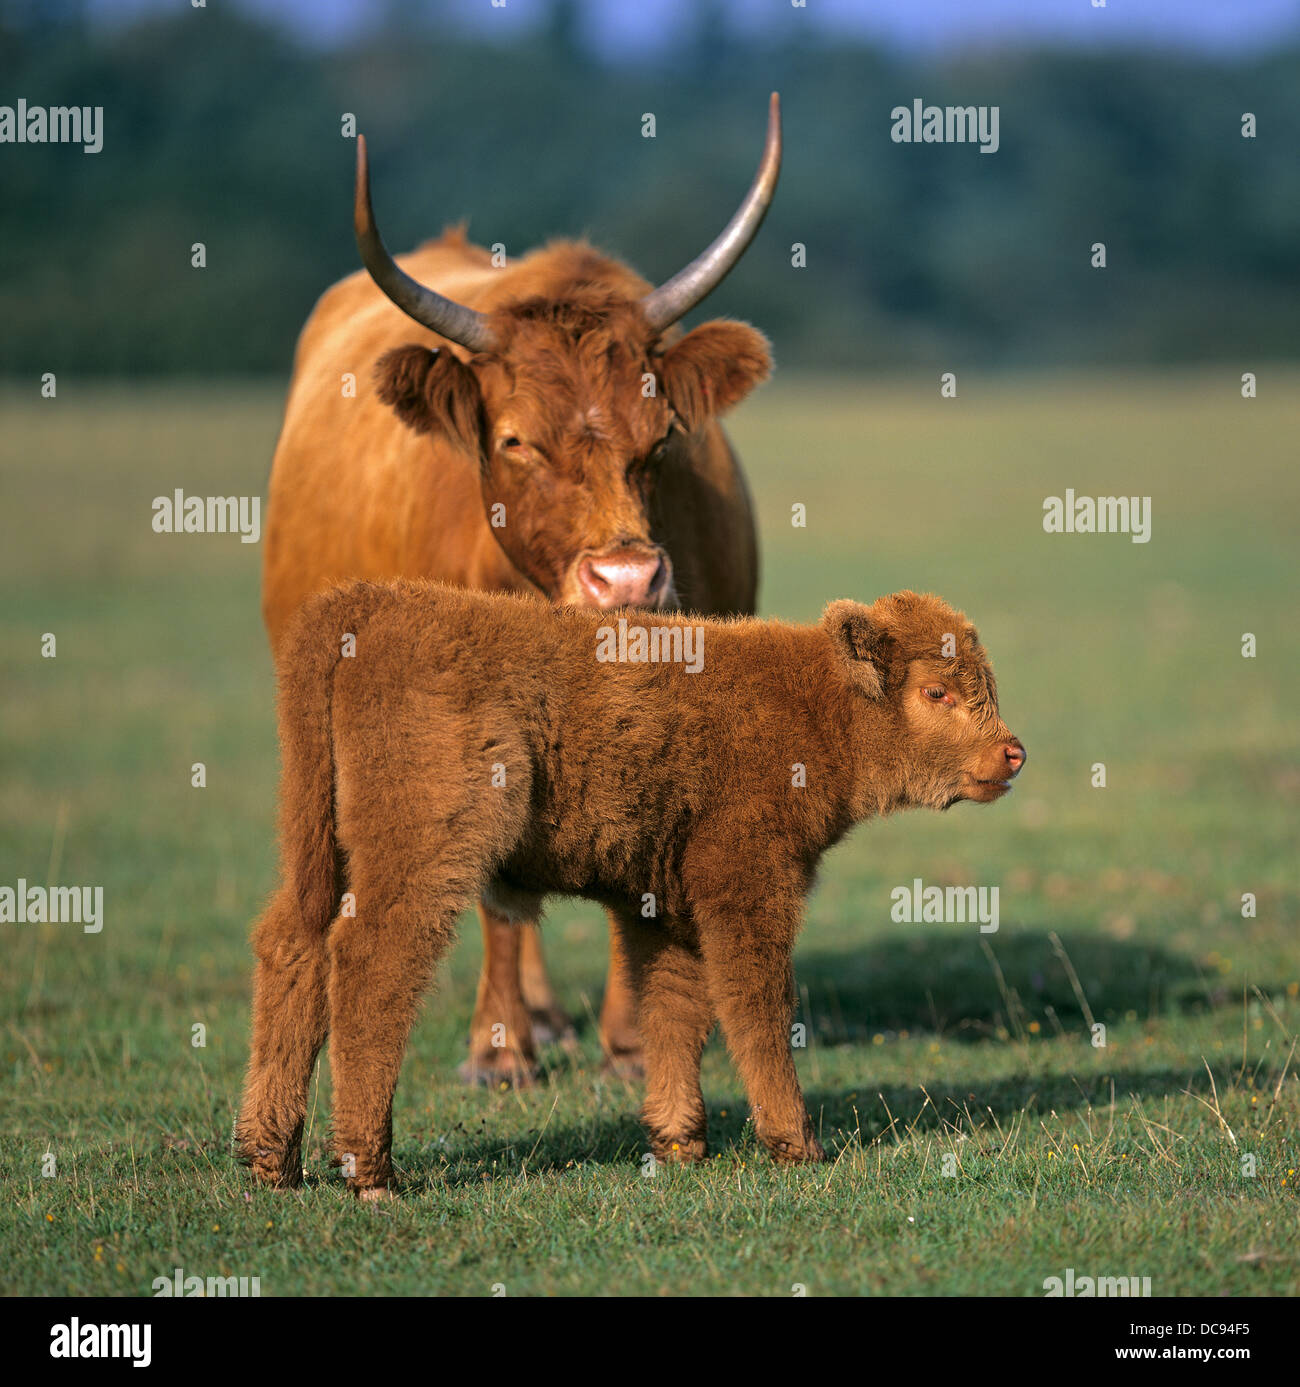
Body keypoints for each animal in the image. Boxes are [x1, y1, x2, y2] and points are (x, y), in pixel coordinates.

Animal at [233, 579, 1026, 1198]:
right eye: (936, 691)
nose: (1012, 752)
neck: (812, 704)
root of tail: (368, 603)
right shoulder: (747, 888)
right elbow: (758, 1006)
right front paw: (796, 1143)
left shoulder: (668, 908)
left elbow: (672, 1007)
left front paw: (678, 1142)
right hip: (420, 853)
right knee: (371, 963)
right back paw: (369, 1171)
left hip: (322, 853)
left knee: (292, 946)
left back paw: (271, 1159)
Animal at [256, 100, 782, 1092]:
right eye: (514, 440)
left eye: (662, 435)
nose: (626, 580)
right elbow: (498, 889)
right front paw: (499, 1051)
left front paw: (630, 1042)